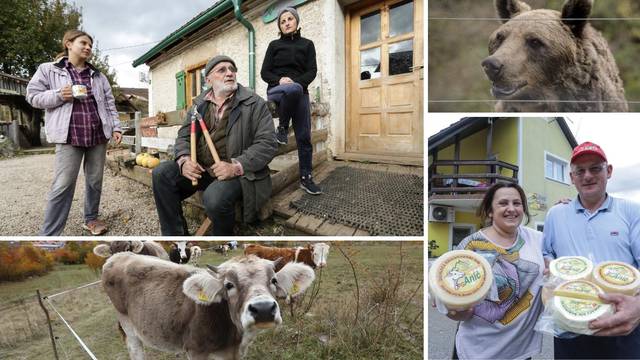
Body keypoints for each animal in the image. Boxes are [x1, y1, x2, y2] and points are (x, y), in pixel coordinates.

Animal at [100, 253, 318, 360]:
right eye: (228, 285)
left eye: (273, 280)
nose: (263, 308)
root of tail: (115, 257)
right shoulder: (195, 351)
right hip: (128, 325)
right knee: (135, 349)